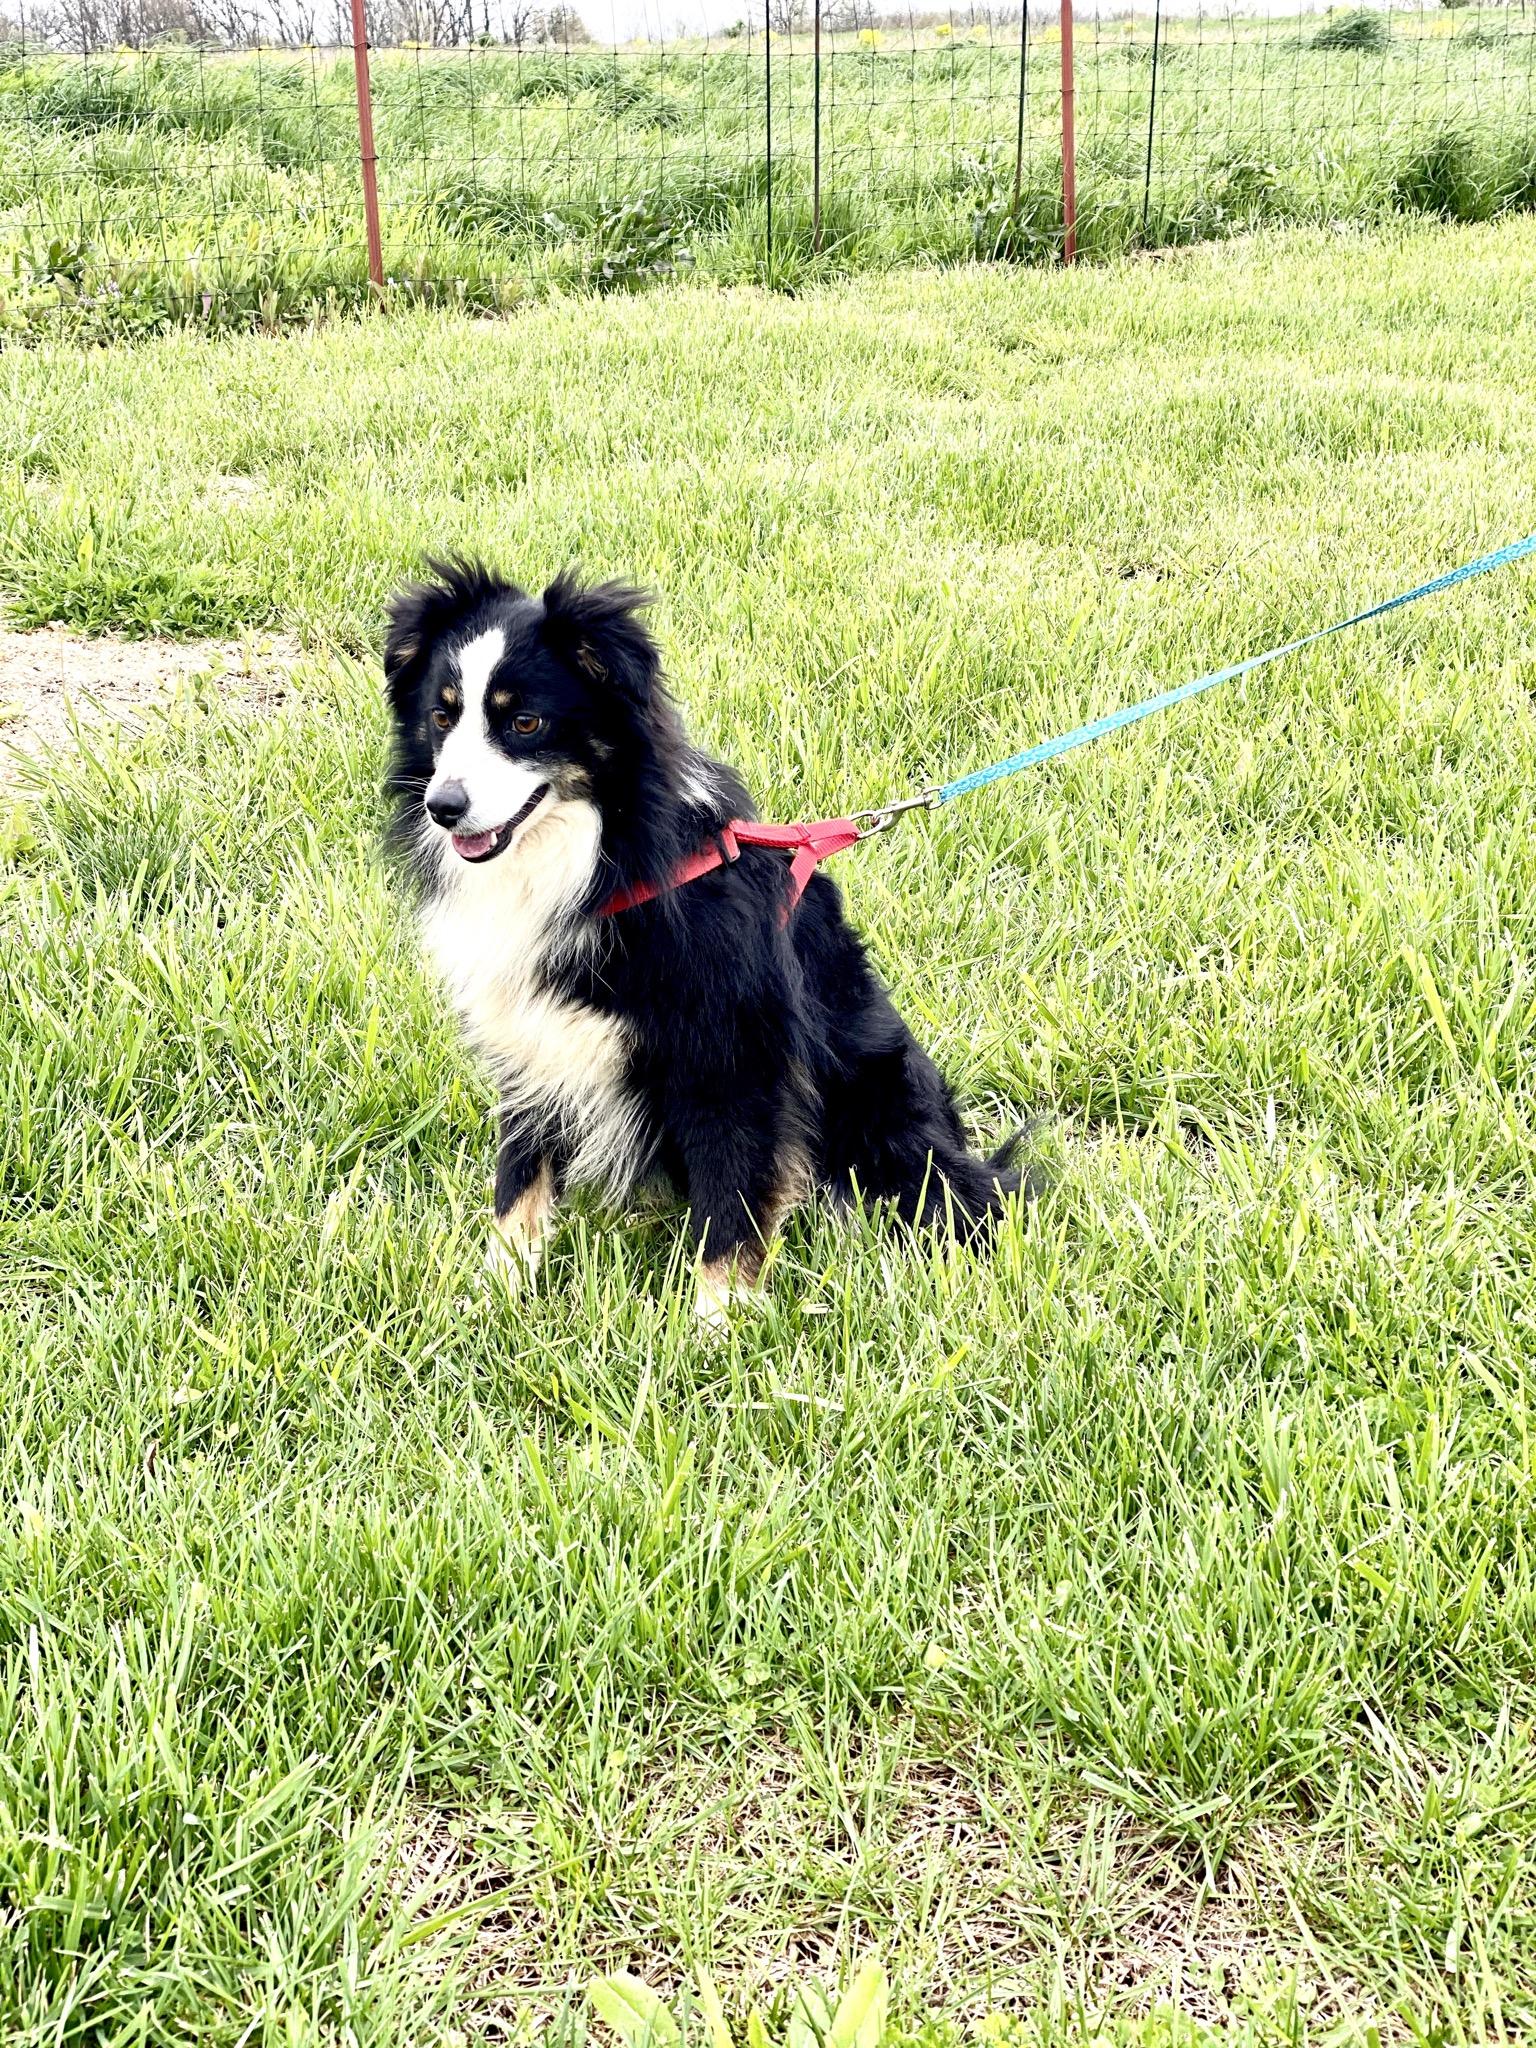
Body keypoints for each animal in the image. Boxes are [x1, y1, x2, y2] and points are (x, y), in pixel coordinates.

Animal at [383, 558, 1030, 1323]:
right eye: (442, 716)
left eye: (525, 721)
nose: (443, 807)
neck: (597, 860)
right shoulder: (534, 1042)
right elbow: (519, 1181)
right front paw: (493, 1297)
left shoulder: (733, 1057)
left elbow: (732, 1197)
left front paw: (714, 1323)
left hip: (884, 1116)